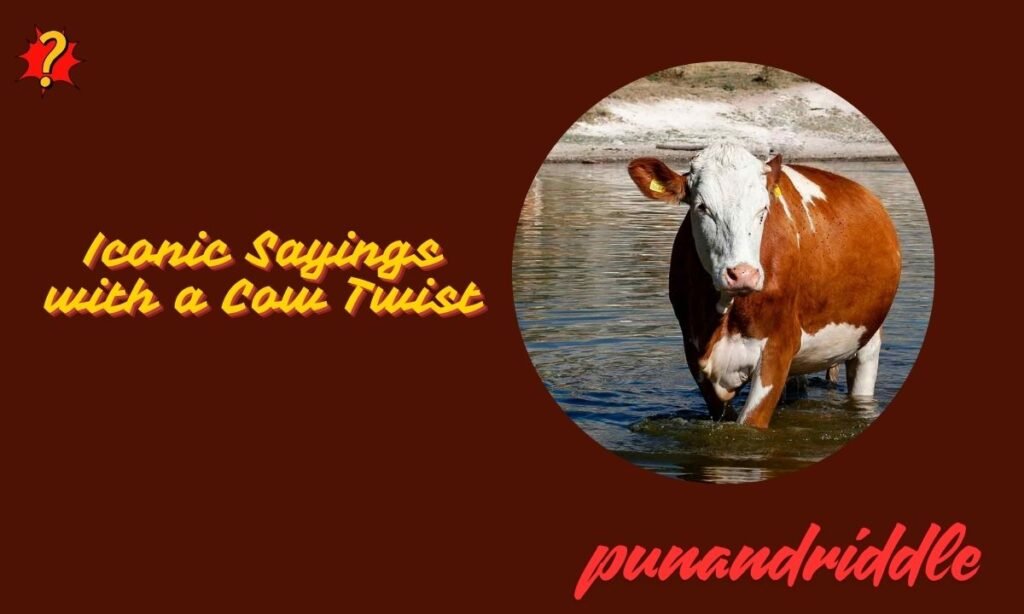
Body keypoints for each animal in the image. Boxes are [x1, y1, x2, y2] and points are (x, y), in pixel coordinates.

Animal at [627, 142, 901, 427]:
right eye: (702, 207)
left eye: (763, 210)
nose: (743, 274)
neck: (724, 315)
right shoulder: (694, 351)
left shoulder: (777, 348)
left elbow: (751, 424)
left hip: (868, 338)